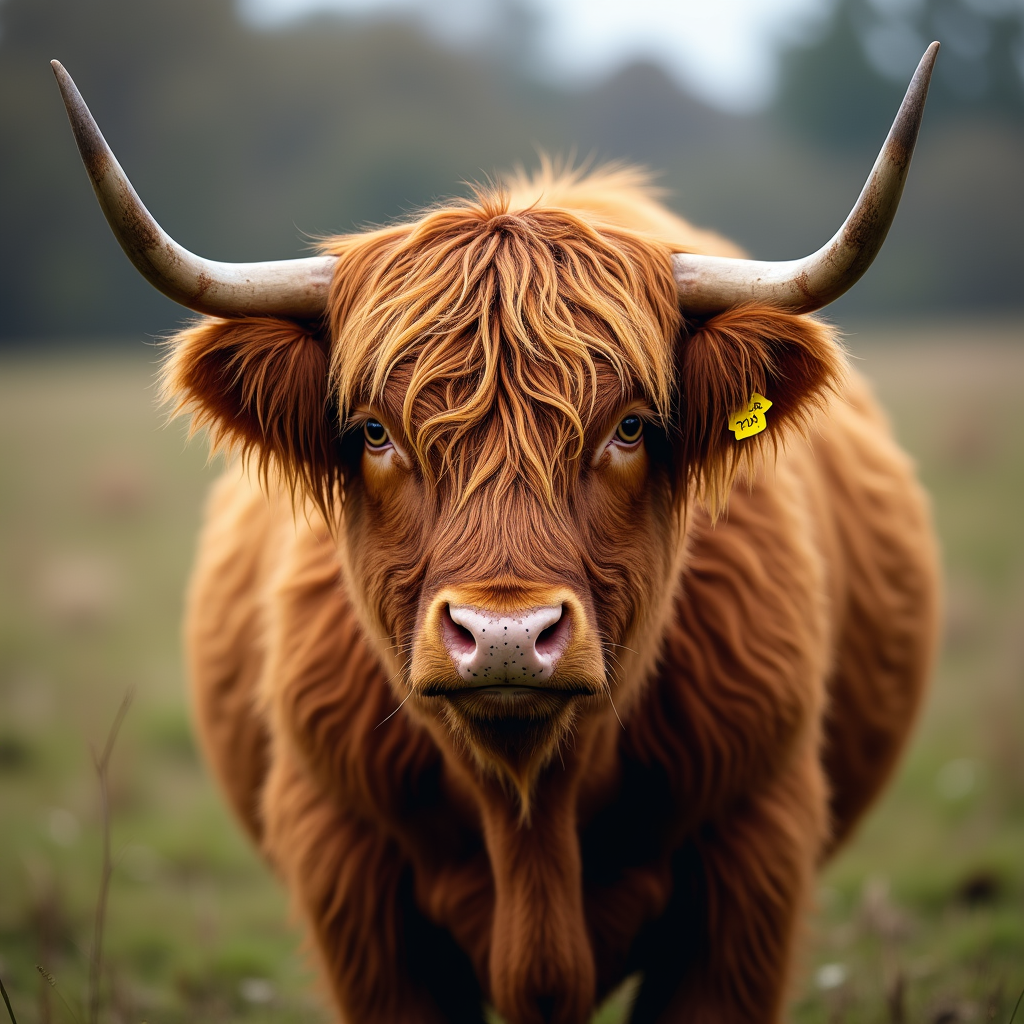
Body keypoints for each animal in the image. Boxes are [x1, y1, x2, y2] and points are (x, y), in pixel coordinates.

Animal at [53, 44, 941, 1024]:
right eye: (374, 431)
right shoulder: (351, 882)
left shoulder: (750, 864)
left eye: (631, 427)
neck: (530, 815)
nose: (506, 634)